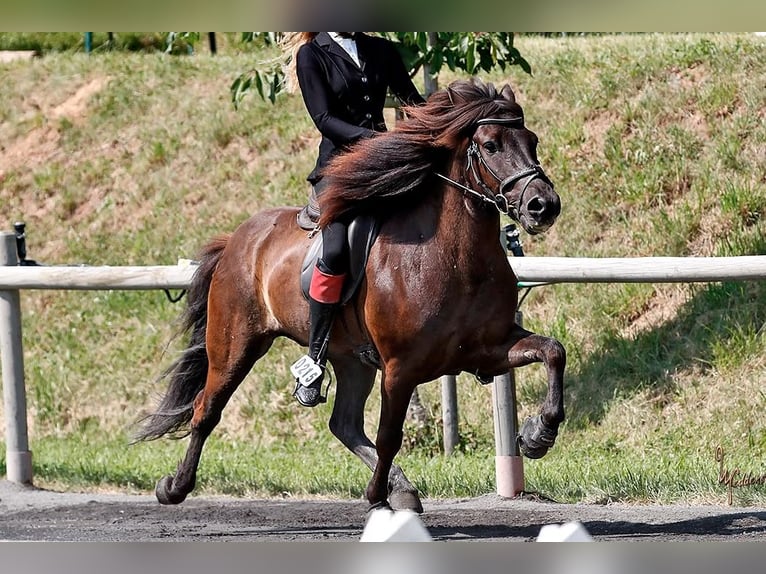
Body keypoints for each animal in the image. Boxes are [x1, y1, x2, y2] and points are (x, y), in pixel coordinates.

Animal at [135, 77, 565, 513]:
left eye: (532, 141)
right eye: (491, 145)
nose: (543, 206)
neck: (457, 259)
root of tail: (237, 239)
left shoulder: (487, 348)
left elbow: (553, 351)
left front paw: (537, 436)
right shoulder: (400, 367)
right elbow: (390, 435)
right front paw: (376, 496)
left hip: (350, 358)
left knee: (344, 424)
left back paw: (401, 486)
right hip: (236, 344)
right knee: (206, 410)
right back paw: (174, 487)